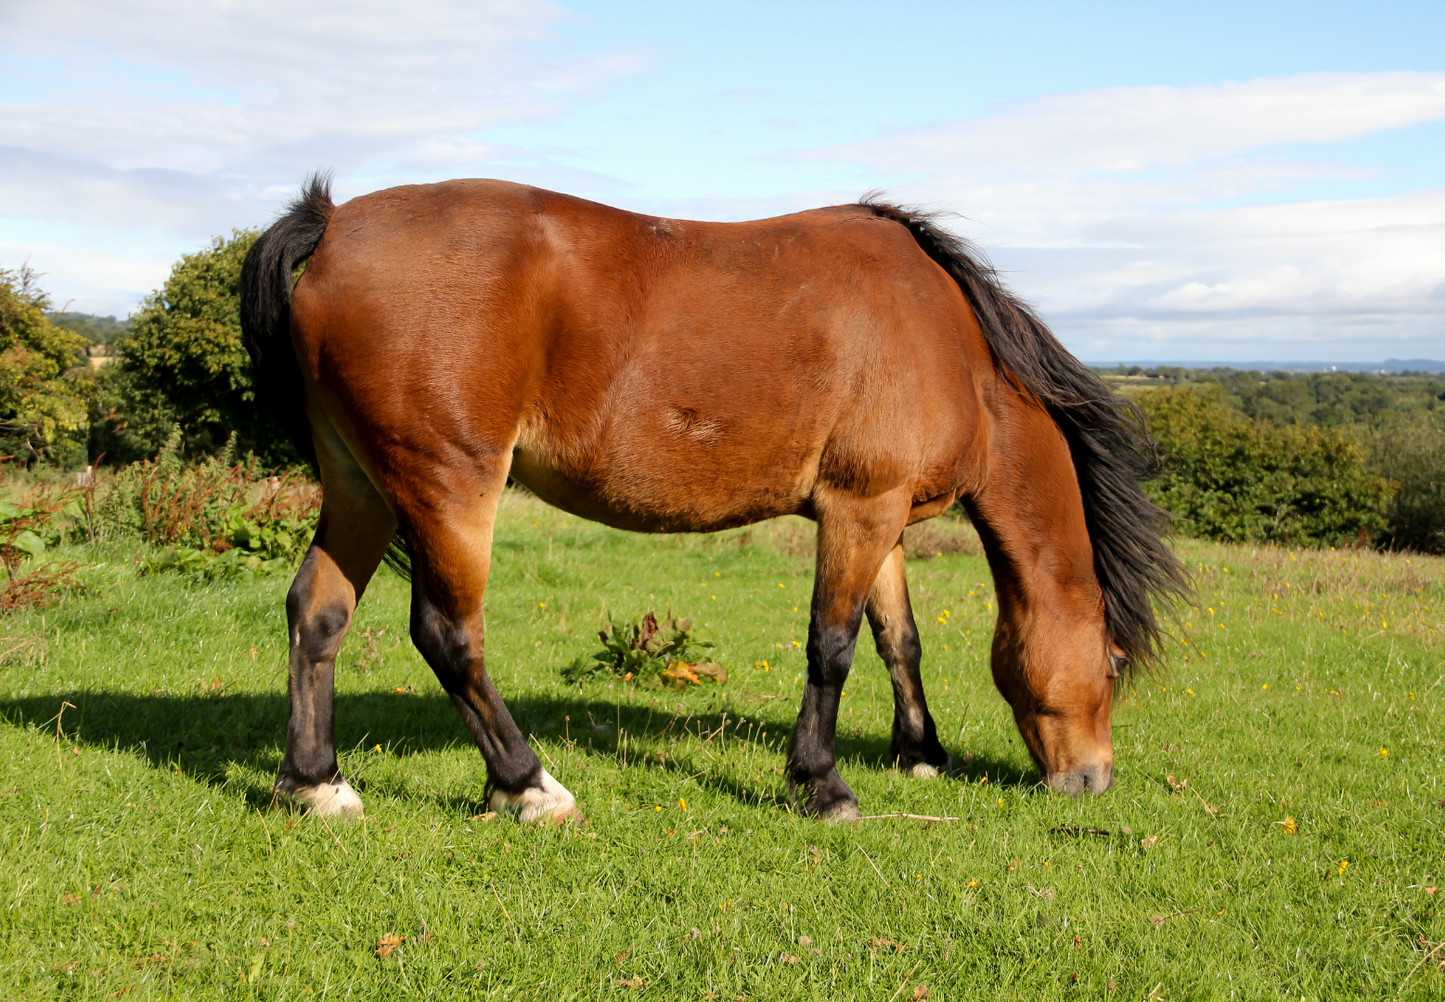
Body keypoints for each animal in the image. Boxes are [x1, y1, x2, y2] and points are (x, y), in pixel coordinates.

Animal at [240, 175, 1187, 823]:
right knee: (447, 634)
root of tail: (334, 223)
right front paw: (820, 784)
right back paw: (527, 785)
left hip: (361, 487)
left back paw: (313, 784)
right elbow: (833, 647)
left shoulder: (881, 519)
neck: (951, 344)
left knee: (317, 612)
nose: (1091, 779)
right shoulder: (858, 510)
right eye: (1110, 666)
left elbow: (900, 641)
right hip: (447, 488)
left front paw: (919, 755)